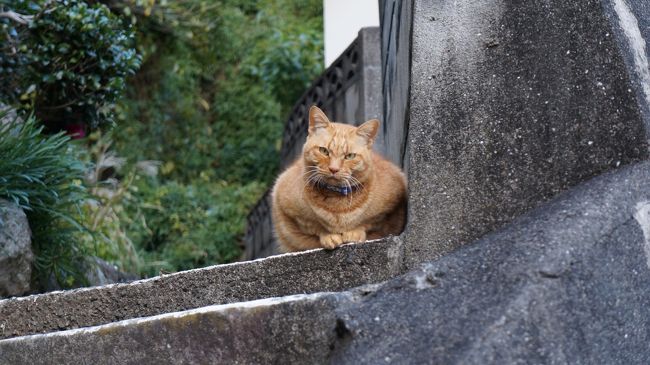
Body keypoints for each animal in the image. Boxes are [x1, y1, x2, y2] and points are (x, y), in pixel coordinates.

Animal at [272, 105, 404, 250]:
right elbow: (314, 227)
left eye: (349, 156)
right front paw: (329, 236)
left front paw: (354, 233)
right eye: (324, 151)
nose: (333, 169)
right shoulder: (286, 203)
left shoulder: (391, 205)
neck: (336, 203)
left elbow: (369, 223)